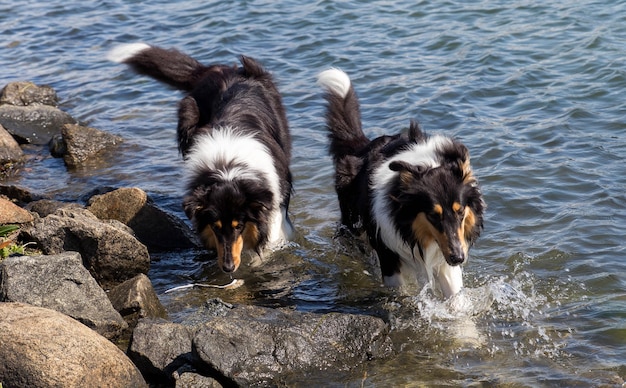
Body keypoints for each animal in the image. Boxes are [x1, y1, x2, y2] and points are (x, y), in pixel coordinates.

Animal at [316, 68, 482, 298]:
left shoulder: (445, 257)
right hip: (353, 225)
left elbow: (455, 296)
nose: (458, 257)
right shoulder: (389, 256)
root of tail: (362, 146)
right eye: (432, 215)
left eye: (460, 211)